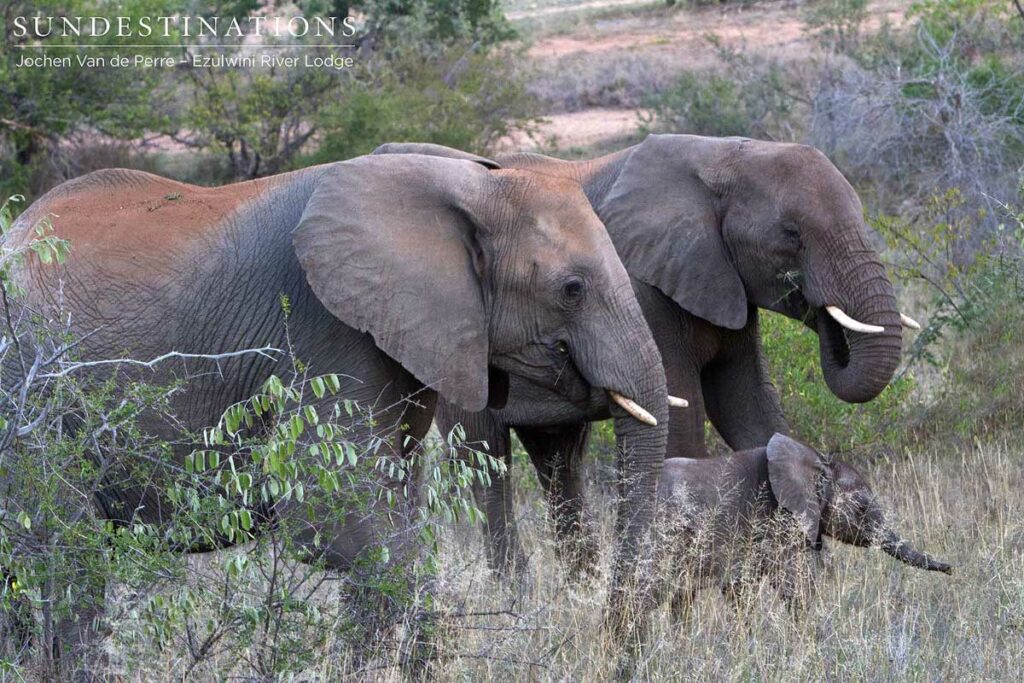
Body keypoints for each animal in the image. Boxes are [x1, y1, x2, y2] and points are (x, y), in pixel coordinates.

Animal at [5, 149, 670, 675]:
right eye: (572, 289)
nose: (613, 647)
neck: (467, 184)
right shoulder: (325, 330)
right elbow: (340, 520)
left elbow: (396, 513)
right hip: (29, 392)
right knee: (63, 552)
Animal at [375, 135, 917, 576]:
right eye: (791, 235)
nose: (824, 314)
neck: (723, 156)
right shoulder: (643, 288)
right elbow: (686, 419)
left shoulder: (724, 281)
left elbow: (749, 409)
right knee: (486, 457)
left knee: (560, 462)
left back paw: (580, 589)